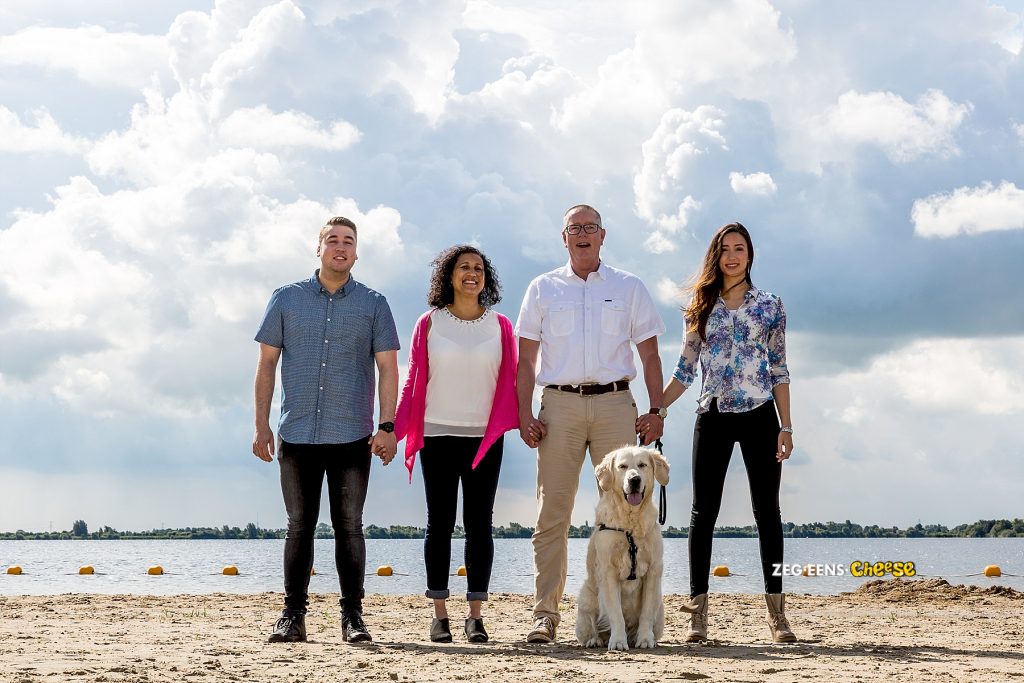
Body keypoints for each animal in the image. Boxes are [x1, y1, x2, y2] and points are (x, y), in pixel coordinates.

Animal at [577, 444, 671, 651]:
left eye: (642, 465)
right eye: (622, 466)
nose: (634, 479)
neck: (630, 523)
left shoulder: (654, 570)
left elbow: (646, 613)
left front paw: (645, 639)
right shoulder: (608, 572)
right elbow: (616, 614)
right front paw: (618, 641)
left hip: (660, 609)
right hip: (586, 597)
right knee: (592, 625)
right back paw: (595, 640)